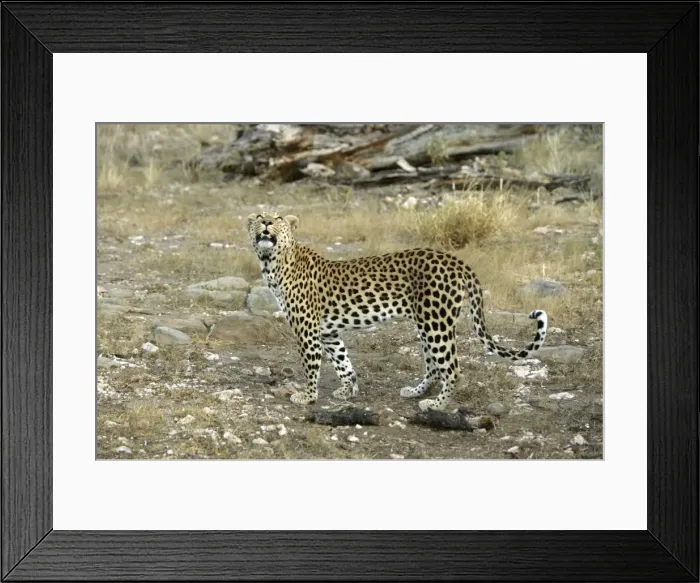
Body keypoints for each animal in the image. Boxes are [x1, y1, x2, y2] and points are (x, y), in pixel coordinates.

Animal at [247, 211, 548, 412]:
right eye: (259, 216)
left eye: (278, 217)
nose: (266, 223)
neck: (272, 263)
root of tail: (456, 261)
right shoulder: (328, 332)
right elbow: (343, 362)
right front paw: (348, 390)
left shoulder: (307, 330)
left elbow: (311, 365)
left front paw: (307, 396)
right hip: (427, 324)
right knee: (434, 367)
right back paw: (415, 392)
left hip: (436, 323)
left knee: (452, 369)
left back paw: (436, 404)